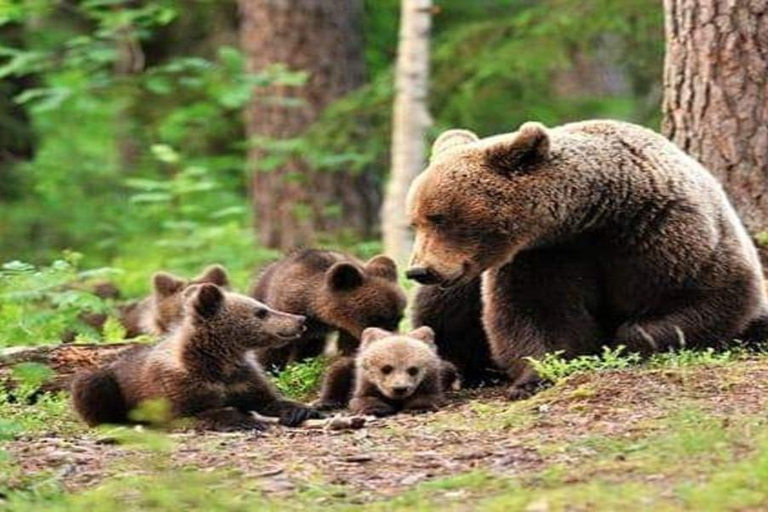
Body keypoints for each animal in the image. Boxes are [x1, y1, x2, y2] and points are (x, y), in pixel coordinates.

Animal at [71, 283, 322, 430]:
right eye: (261, 312)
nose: (300, 319)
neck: (220, 359)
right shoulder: (176, 384)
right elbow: (198, 412)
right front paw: (244, 420)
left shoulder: (242, 378)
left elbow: (267, 399)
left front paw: (301, 409)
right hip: (110, 379)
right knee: (91, 385)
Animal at [251, 249, 407, 370]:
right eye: (377, 318)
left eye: (399, 318)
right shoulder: (288, 310)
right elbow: (275, 347)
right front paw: (271, 370)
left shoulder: (345, 328)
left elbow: (350, 344)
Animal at [315, 326, 459, 416]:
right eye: (386, 368)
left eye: (413, 369)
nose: (399, 389)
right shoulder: (364, 382)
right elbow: (363, 398)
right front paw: (377, 409)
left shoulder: (432, 379)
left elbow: (430, 396)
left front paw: (418, 408)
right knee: (337, 371)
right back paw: (326, 403)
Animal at [405, 120, 768, 400]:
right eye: (415, 221)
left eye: (439, 218)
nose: (419, 270)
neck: (594, 215)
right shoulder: (543, 257)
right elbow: (536, 314)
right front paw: (534, 378)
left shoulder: (665, 232)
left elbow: (707, 295)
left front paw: (624, 343)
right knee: (442, 309)